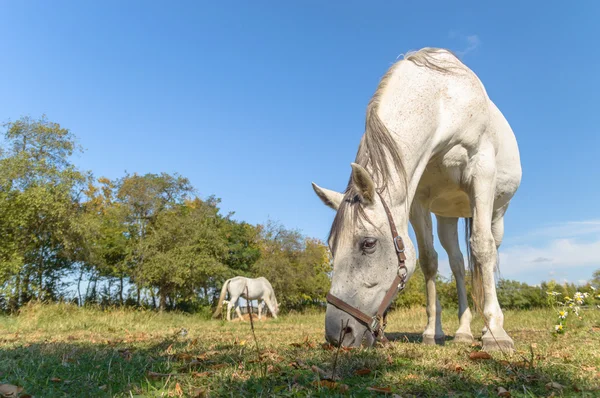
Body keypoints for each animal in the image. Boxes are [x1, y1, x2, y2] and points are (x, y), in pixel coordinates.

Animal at [312, 47, 524, 352]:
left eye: (368, 243)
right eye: (331, 246)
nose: (337, 334)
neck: (444, 101)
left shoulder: (482, 173)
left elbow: (482, 248)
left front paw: (496, 333)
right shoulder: (418, 201)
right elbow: (428, 261)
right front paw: (432, 331)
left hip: (497, 211)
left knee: (489, 250)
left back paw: (488, 327)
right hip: (447, 217)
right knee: (458, 264)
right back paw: (463, 331)